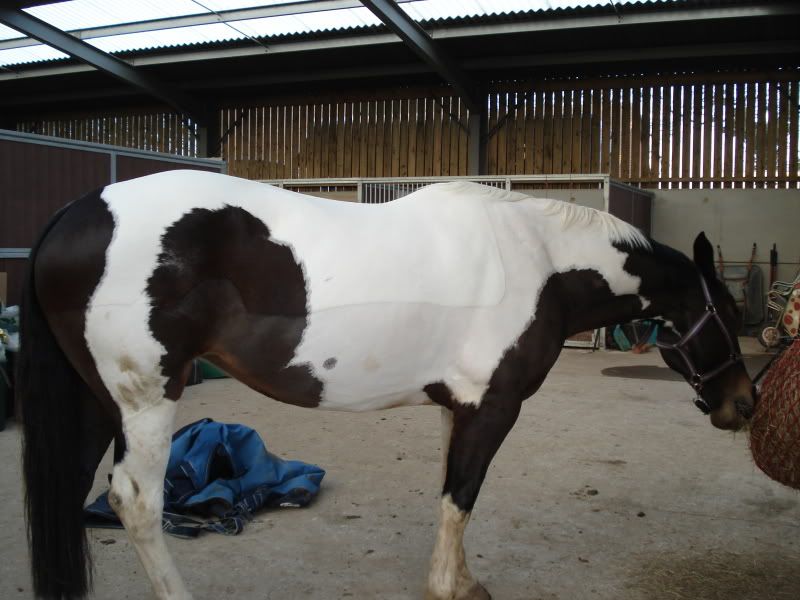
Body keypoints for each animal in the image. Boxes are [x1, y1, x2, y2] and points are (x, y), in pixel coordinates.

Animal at [16, 171, 755, 600]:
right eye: (727, 312)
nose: (743, 405)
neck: (540, 261)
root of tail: (73, 214)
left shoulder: (457, 406)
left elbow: (452, 496)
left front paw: (464, 579)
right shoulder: (493, 407)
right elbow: (463, 495)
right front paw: (450, 588)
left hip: (95, 404)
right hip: (145, 402)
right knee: (135, 502)